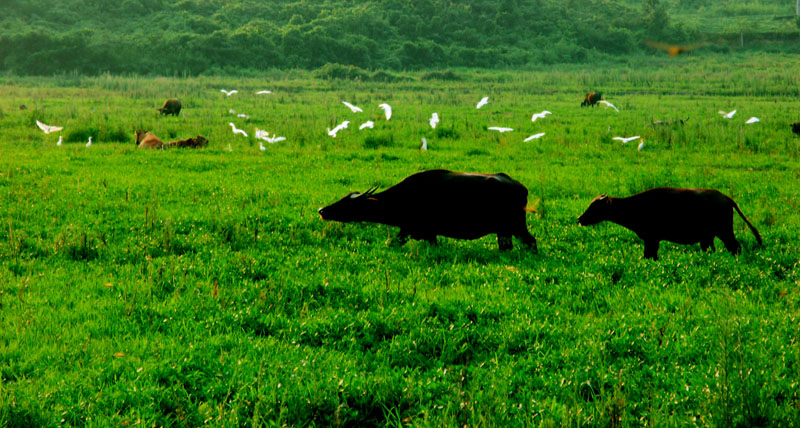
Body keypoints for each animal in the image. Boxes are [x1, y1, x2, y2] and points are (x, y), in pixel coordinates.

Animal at [318, 170, 536, 252]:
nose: (322, 210)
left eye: (347, 204)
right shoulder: (412, 231)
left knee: (531, 241)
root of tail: (520, 187)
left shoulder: (419, 231)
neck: (405, 197)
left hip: (516, 227)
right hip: (504, 231)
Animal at [580, 188, 760, 260]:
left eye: (595, 206)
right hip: (709, 238)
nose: (579, 219)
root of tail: (726, 198)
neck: (636, 206)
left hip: (724, 232)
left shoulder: (651, 239)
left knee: (735, 248)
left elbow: (649, 255)